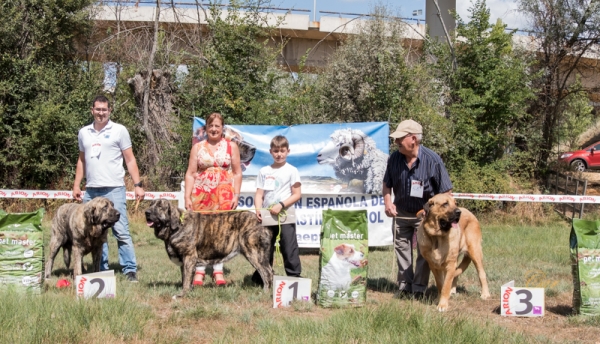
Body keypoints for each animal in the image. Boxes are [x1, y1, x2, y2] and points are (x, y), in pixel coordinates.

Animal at [145, 199, 274, 298]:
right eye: (151, 204)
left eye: (160, 206)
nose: (146, 212)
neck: (177, 226)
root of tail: (261, 221)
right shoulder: (184, 263)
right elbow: (185, 278)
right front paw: (189, 291)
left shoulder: (188, 258)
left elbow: (186, 280)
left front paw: (182, 295)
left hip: (254, 253)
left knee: (267, 272)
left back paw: (265, 292)